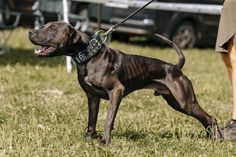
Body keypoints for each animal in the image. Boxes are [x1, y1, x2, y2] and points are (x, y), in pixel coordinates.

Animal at [28, 21, 222, 145]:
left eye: (53, 28)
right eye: (44, 25)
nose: (30, 32)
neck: (89, 56)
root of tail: (175, 67)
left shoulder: (116, 92)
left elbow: (108, 119)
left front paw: (105, 141)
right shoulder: (92, 97)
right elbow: (92, 121)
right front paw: (88, 140)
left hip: (185, 102)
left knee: (210, 118)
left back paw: (218, 140)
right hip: (175, 102)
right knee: (204, 118)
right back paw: (210, 138)